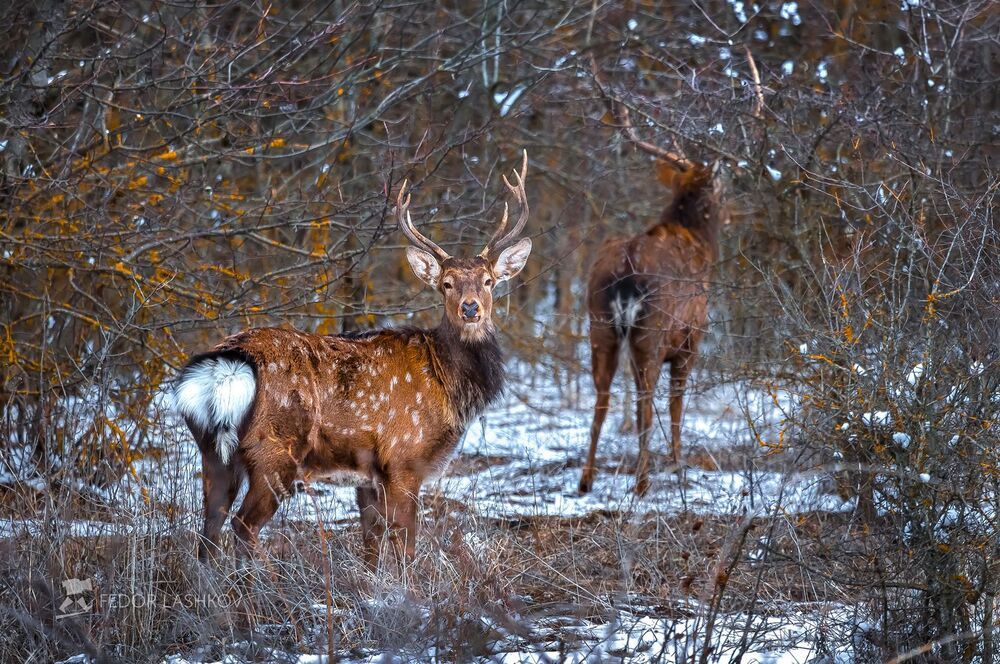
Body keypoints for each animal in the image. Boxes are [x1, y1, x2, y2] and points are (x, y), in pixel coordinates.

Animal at [173, 152, 532, 565]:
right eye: (447, 283)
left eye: (489, 281)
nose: (470, 308)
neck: (448, 384)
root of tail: (226, 366)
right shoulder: (404, 459)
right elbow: (405, 546)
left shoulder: (368, 476)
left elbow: (371, 545)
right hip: (274, 451)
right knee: (242, 525)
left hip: (212, 450)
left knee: (210, 526)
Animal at [579, 67, 730, 496]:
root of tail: (626, 272)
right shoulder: (692, 338)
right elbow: (677, 403)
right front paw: (679, 465)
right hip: (653, 329)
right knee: (646, 399)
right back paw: (642, 481)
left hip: (599, 324)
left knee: (602, 394)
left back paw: (586, 479)